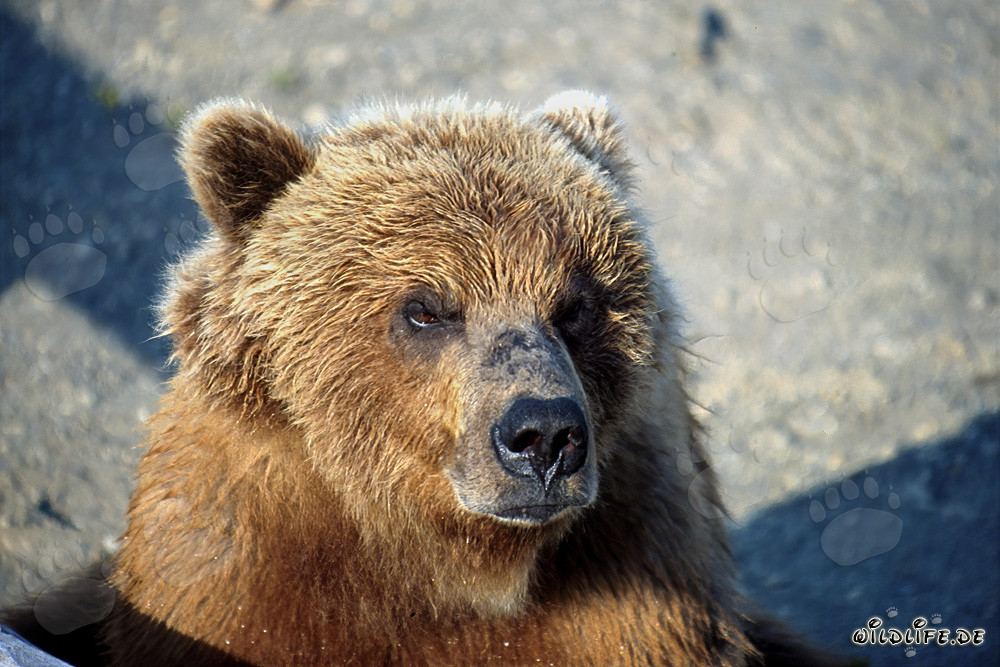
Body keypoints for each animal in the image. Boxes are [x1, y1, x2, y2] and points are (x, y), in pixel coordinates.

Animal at [6, 92, 836, 665]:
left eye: (577, 304)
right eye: (427, 307)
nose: (544, 436)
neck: (444, 565)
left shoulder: (631, 597)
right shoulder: (236, 585)